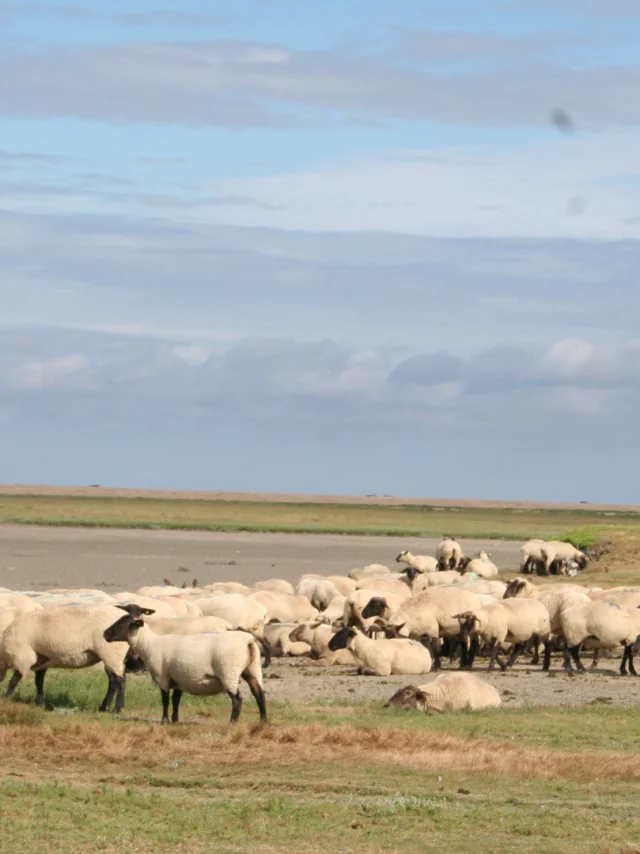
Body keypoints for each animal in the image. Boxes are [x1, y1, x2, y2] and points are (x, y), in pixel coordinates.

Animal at [2, 603, 153, 711]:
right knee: (113, 681)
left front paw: (5, 699)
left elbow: (14, 680)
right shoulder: (41, 659)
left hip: (111, 652)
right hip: (110, 655)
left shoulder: (22, 656)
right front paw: (40, 703)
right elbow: (39, 682)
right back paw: (103, 707)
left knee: (120, 680)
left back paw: (118, 708)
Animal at [103, 612, 267, 724]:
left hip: (229, 671)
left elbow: (165, 699)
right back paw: (263, 721)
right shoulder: (179, 679)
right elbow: (176, 700)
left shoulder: (162, 677)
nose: (105, 634)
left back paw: (232, 723)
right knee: (259, 693)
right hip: (252, 669)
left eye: (123, 624)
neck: (148, 644)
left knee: (237, 699)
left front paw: (164, 721)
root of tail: (249, 641)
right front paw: (175, 720)